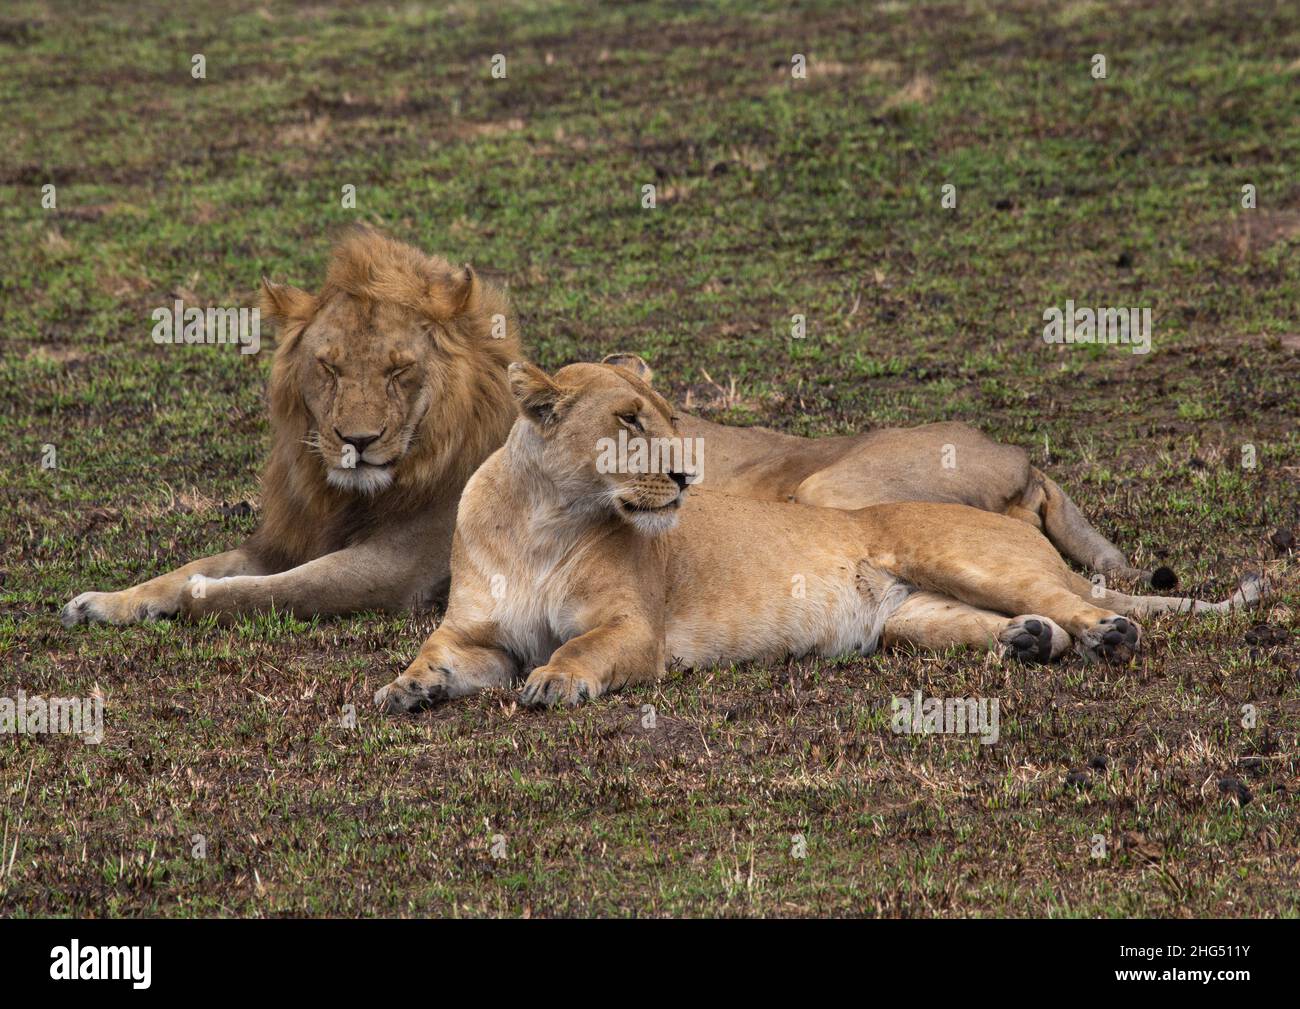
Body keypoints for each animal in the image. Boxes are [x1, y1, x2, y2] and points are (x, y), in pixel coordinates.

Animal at [68, 226, 1149, 629]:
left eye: (401, 372)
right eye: (329, 368)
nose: (355, 440)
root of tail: (1029, 459)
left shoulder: (396, 567)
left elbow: (255, 590)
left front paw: (184, 600)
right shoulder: (289, 531)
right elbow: (197, 565)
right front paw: (105, 599)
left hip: (831, 487)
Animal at [374, 358, 1258, 712]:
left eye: (668, 417)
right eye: (627, 421)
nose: (688, 477)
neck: (543, 521)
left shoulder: (633, 629)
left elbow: (581, 648)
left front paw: (557, 681)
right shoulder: (476, 633)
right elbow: (433, 652)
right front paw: (406, 688)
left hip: (954, 551)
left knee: (1086, 607)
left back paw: (1109, 634)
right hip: (913, 617)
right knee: (1030, 624)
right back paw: (1031, 642)